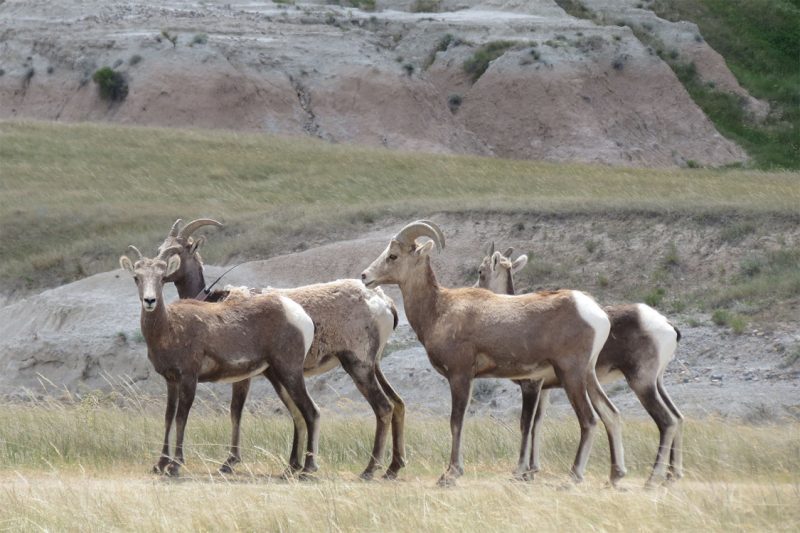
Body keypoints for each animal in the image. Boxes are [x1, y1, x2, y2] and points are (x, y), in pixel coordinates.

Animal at [119, 245, 319, 477]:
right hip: (277, 376)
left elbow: (181, 418)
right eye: (136, 277)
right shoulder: (171, 381)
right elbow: (168, 417)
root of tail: (301, 316)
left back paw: (308, 469)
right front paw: (160, 464)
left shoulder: (189, 378)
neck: (168, 328)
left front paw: (175, 465)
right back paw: (290, 469)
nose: (150, 301)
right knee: (297, 415)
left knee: (311, 412)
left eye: (161, 278)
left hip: (290, 372)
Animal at [156, 219, 406, 480]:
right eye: (160, 248)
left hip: (358, 365)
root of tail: (383, 302)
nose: (158, 274)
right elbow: (294, 415)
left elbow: (236, 411)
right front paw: (291, 466)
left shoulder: (245, 377)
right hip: (373, 365)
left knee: (383, 407)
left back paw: (369, 470)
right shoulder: (273, 375)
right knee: (398, 404)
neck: (215, 303)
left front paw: (229, 463)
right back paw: (392, 468)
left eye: (176, 251)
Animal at [360, 221, 626, 486]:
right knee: (611, 414)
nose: (365, 276)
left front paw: (450, 474)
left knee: (589, 420)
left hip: (572, 375)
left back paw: (573, 477)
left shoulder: (461, 376)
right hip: (588, 376)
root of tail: (596, 313)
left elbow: (456, 421)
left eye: (393, 256)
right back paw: (615, 475)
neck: (438, 310)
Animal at [476, 246, 684, 486]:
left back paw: (650, 480)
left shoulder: (532, 385)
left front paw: (521, 473)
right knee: (676, 417)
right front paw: (531, 471)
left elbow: (526, 424)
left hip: (640, 383)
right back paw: (668, 476)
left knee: (666, 421)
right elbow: (538, 424)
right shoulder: (545, 390)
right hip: (655, 383)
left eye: (480, 271)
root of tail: (667, 325)